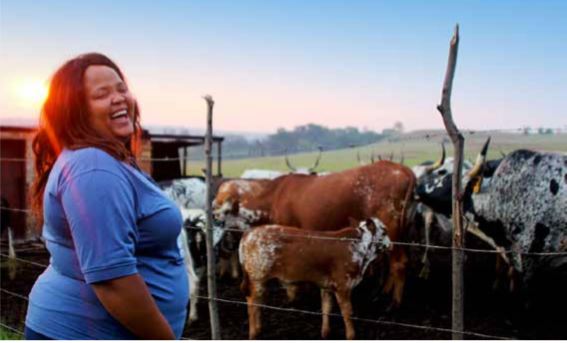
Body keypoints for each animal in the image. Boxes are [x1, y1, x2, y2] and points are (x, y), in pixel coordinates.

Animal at [213, 161, 418, 306]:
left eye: (219, 214)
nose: (216, 244)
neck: (272, 197)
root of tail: (400, 169)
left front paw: (294, 296)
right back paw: (382, 293)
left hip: (391, 228)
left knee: (399, 262)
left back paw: (394, 304)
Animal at [239, 219, 390, 340]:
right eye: (384, 231)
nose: (391, 243)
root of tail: (250, 232)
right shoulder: (343, 286)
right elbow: (347, 313)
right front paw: (351, 336)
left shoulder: (327, 286)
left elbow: (326, 308)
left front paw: (325, 333)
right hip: (257, 277)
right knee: (252, 303)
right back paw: (253, 333)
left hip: (260, 280)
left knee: (258, 302)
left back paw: (259, 329)